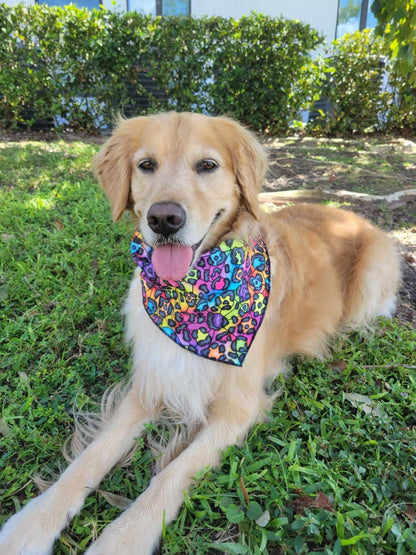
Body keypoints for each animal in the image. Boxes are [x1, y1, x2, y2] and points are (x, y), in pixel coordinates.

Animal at [1, 113, 402, 555]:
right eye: (146, 165)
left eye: (207, 165)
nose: (163, 218)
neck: (195, 299)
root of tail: (347, 213)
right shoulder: (150, 384)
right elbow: (91, 456)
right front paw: (34, 521)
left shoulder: (237, 409)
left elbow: (173, 475)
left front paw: (122, 538)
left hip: (370, 280)